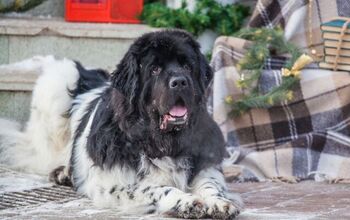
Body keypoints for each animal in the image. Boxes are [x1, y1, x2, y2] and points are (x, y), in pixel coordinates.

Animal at [0, 30, 241, 219]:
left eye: (187, 66)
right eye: (155, 69)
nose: (180, 81)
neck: (162, 139)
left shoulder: (205, 163)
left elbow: (211, 183)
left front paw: (219, 202)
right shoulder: (114, 184)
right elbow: (158, 188)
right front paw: (187, 202)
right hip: (58, 81)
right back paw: (63, 171)